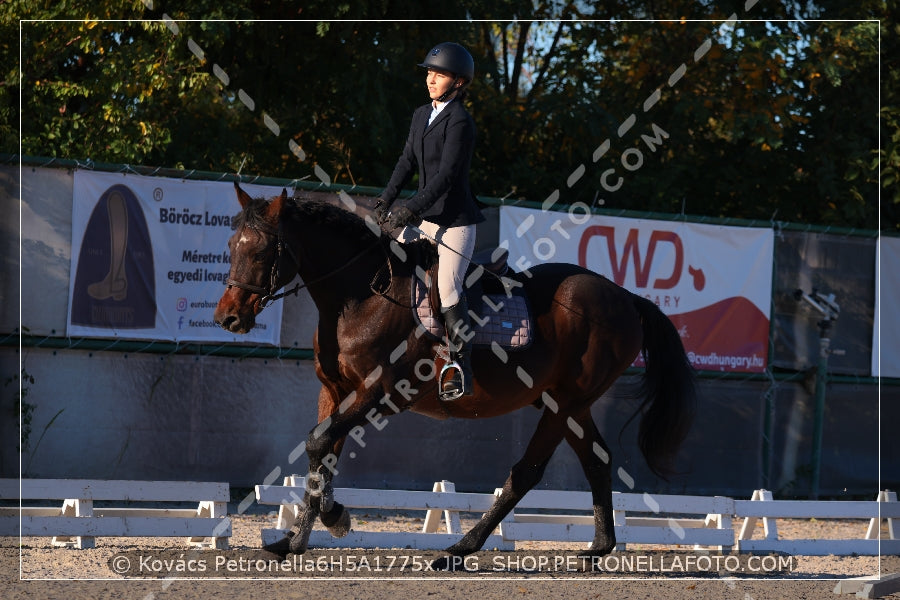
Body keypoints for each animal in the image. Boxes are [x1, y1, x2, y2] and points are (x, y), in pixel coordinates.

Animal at [213, 184, 696, 564]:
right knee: (597, 460)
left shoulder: (379, 393)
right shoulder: (335, 391)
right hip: (569, 404)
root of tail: (625, 297)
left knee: (527, 472)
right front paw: (303, 533)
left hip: (564, 402)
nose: (227, 318)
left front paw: (324, 524)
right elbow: (322, 450)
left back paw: (461, 549)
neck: (360, 296)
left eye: (260, 250)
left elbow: (318, 442)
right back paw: (598, 549)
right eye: (231, 246)